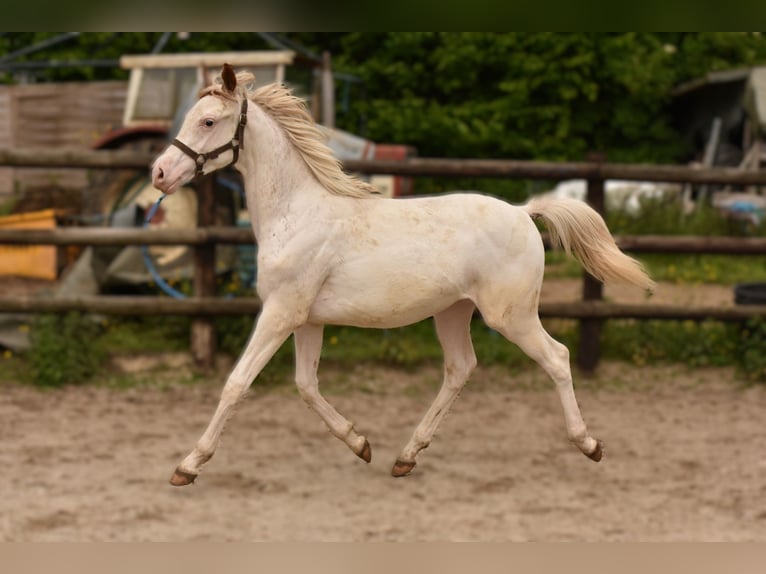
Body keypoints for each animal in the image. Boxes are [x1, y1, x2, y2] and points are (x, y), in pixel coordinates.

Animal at [153, 65, 656, 488]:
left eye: (209, 122)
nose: (159, 173)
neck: (296, 213)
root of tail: (522, 211)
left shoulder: (280, 313)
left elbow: (237, 383)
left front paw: (188, 465)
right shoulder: (307, 319)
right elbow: (306, 385)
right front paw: (360, 444)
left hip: (510, 315)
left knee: (557, 358)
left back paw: (589, 445)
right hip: (454, 312)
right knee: (460, 368)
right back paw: (405, 456)